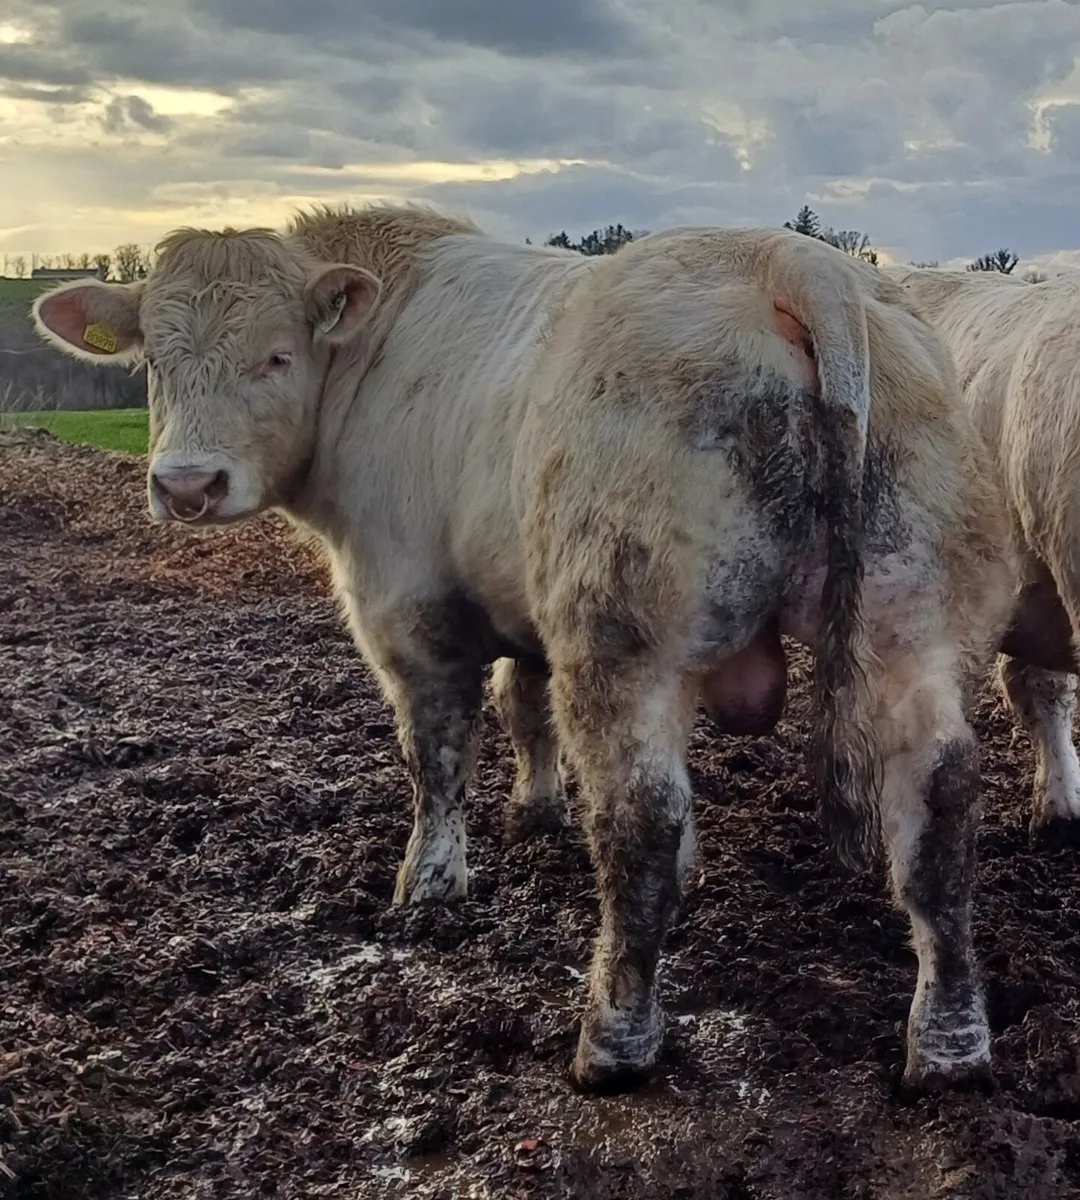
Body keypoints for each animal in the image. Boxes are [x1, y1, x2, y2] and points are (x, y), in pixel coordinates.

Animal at [31, 204, 1016, 1096]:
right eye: (154, 362)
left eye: (275, 356)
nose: (186, 485)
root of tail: (793, 260)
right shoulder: (517, 601)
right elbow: (523, 705)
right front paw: (539, 808)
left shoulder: (406, 605)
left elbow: (437, 750)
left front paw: (430, 882)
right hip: (907, 621)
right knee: (940, 803)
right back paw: (949, 1048)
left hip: (620, 631)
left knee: (639, 817)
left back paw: (614, 1041)